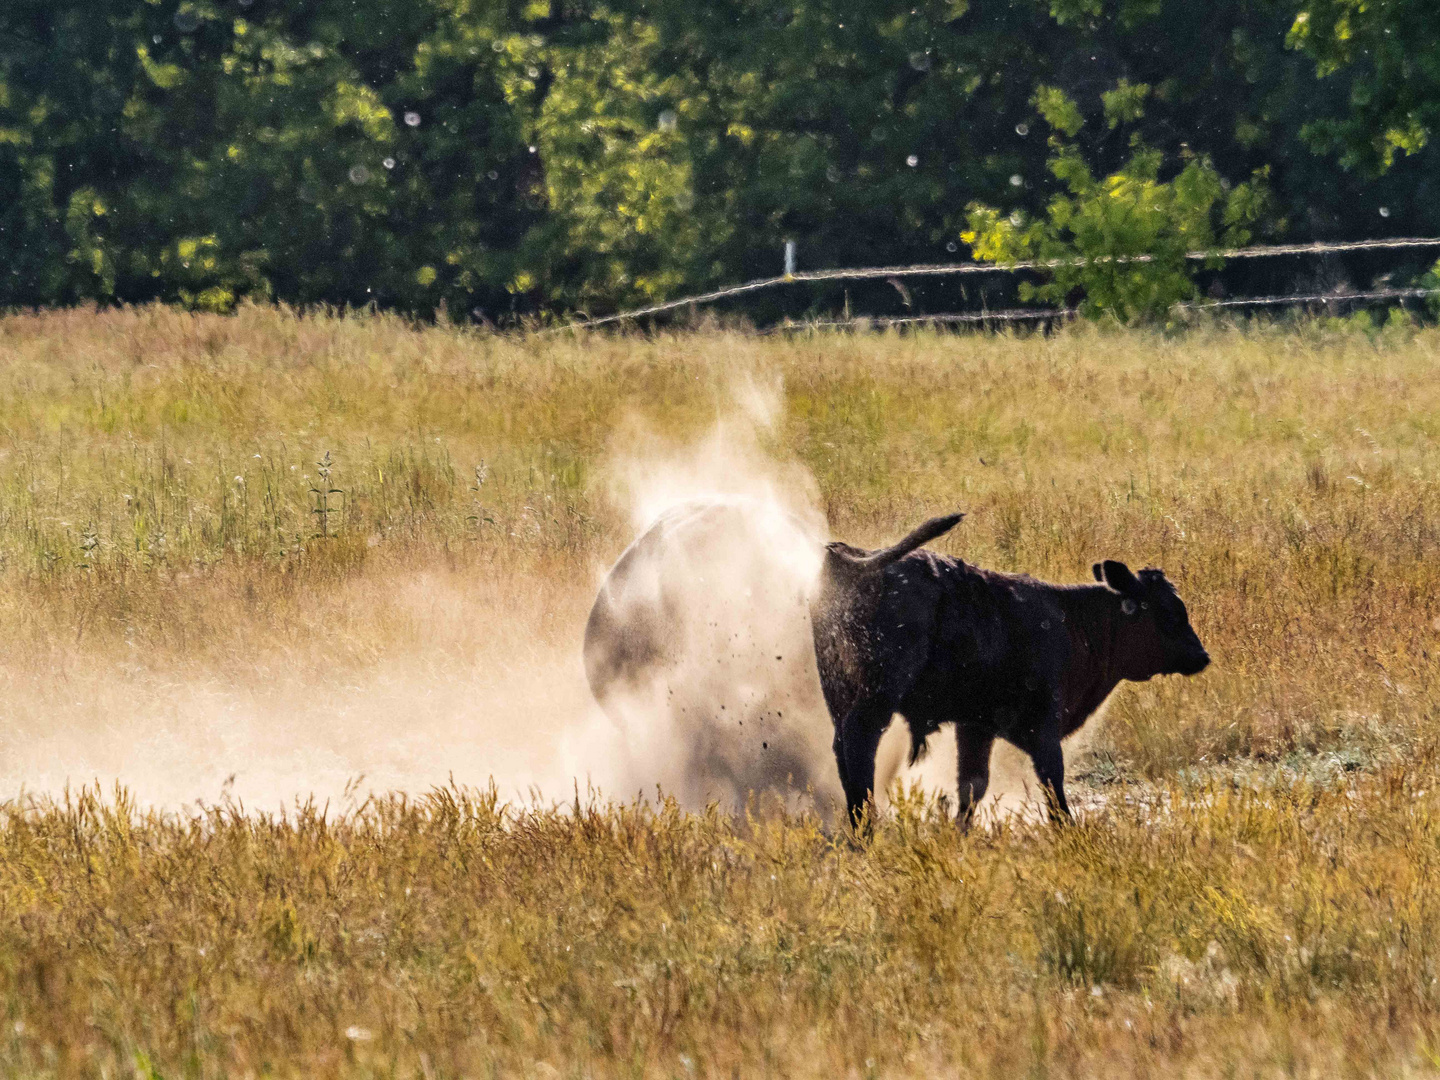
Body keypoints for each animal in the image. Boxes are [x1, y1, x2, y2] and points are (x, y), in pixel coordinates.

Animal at [817, 512, 1209, 829]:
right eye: (1170, 613)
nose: (1202, 656)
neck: (1072, 621)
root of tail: (860, 559)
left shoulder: (976, 725)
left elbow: (972, 784)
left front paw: (959, 832)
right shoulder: (1044, 726)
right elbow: (1052, 783)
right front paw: (1068, 831)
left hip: (838, 692)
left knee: (841, 748)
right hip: (876, 697)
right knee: (859, 745)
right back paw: (865, 827)